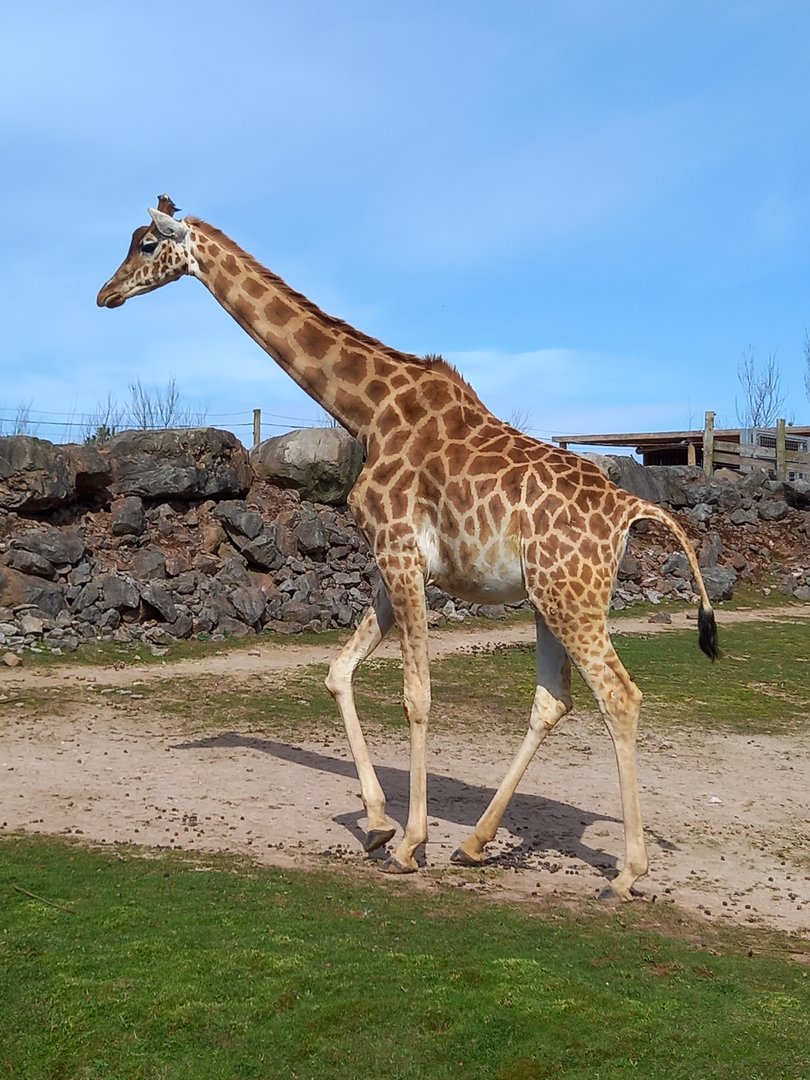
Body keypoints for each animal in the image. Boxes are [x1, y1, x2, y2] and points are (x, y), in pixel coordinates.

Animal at [97, 196, 719, 900]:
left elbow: (415, 696)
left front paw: (410, 843)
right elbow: (339, 671)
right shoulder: (394, 560)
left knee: (619, 696)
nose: (105, 293)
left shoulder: (398, 550)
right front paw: (376, 823)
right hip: (548, 599)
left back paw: (625, 872)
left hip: (573, 598)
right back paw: (476, 843)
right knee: (553, 699)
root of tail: (633, 508)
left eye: (147, 244)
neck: (367, 411)